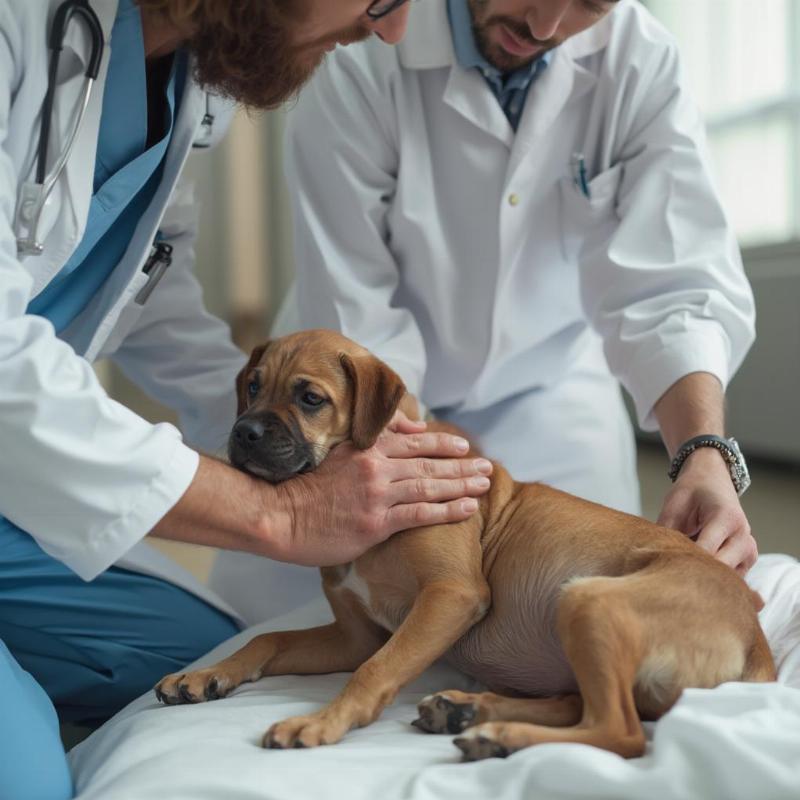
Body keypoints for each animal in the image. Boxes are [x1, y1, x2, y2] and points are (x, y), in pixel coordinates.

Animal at [156, 332, 776, 764]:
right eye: (252, 386)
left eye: (310, 398)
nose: (244, 434)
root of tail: (756, 640)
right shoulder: (354, 636)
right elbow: (272, 637)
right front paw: (207, 674)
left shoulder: (451, 596)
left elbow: (376, 670)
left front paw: (321, 721)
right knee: (582, 706)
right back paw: (466, 711)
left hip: (589, 601)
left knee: (620, 732)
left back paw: (497, 735)